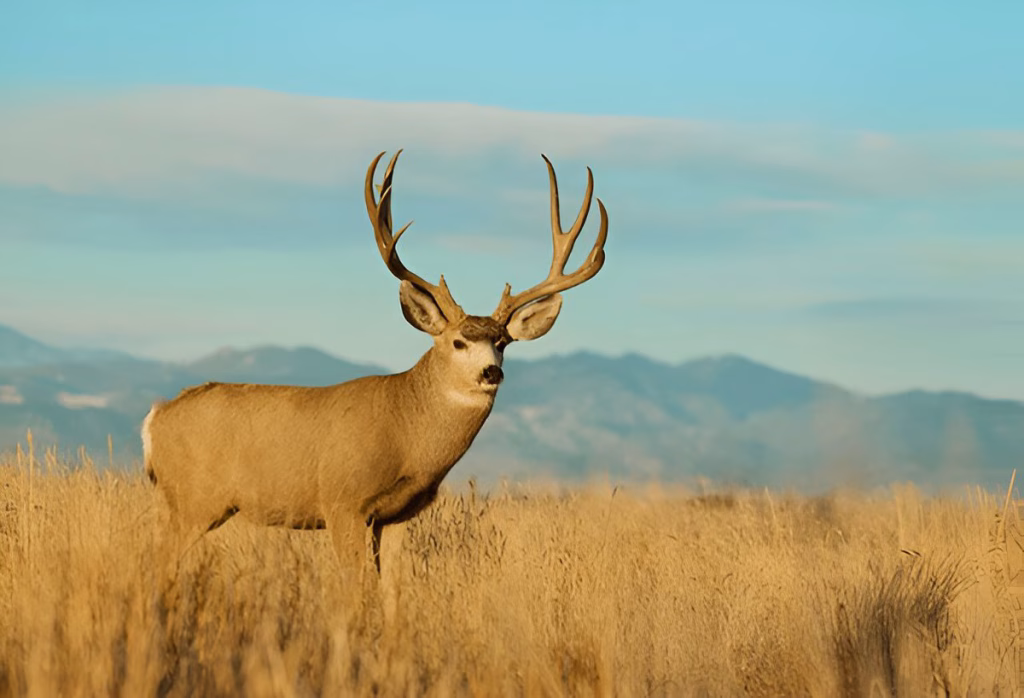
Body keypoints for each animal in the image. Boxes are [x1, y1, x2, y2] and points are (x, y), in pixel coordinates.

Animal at [143, 150, 608, 616]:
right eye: (458, 341)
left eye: (502, 342)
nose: (491, 372)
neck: (405, 429)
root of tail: (155, 418)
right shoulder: (342, 502)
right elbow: (353, 592)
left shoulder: (396, 515)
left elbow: (392, 594)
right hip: (194, 498)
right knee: (159, 562)